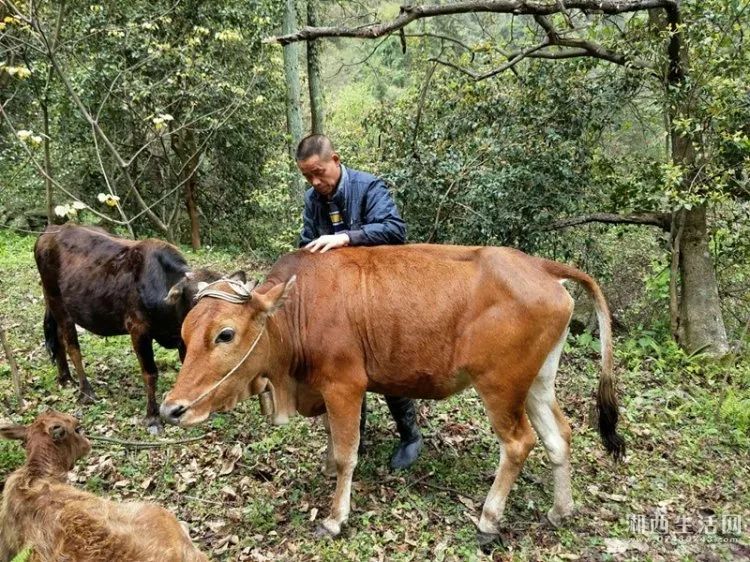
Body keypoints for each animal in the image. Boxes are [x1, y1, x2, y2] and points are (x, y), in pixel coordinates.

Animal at [33, 223, 239, 428]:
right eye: (197, 298)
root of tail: (51, 230)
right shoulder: (138, 331)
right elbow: (150, 373)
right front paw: (152, 417)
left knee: (57, 338)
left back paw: (65, 378)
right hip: (58, 303)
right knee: (72, 347)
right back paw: (86, 392)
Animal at [160, 244, 624, 544]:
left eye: (225, 334)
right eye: (185, 331)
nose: (171, 409)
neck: (298, 310)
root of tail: (541, 268)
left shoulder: (345, 384)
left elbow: (347, 452)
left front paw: (335, 516)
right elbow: (332, 438)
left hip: (501, 386)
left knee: (518, 442)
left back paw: (489, 519)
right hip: (537, 382)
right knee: (558, 436)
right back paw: (560, 510)